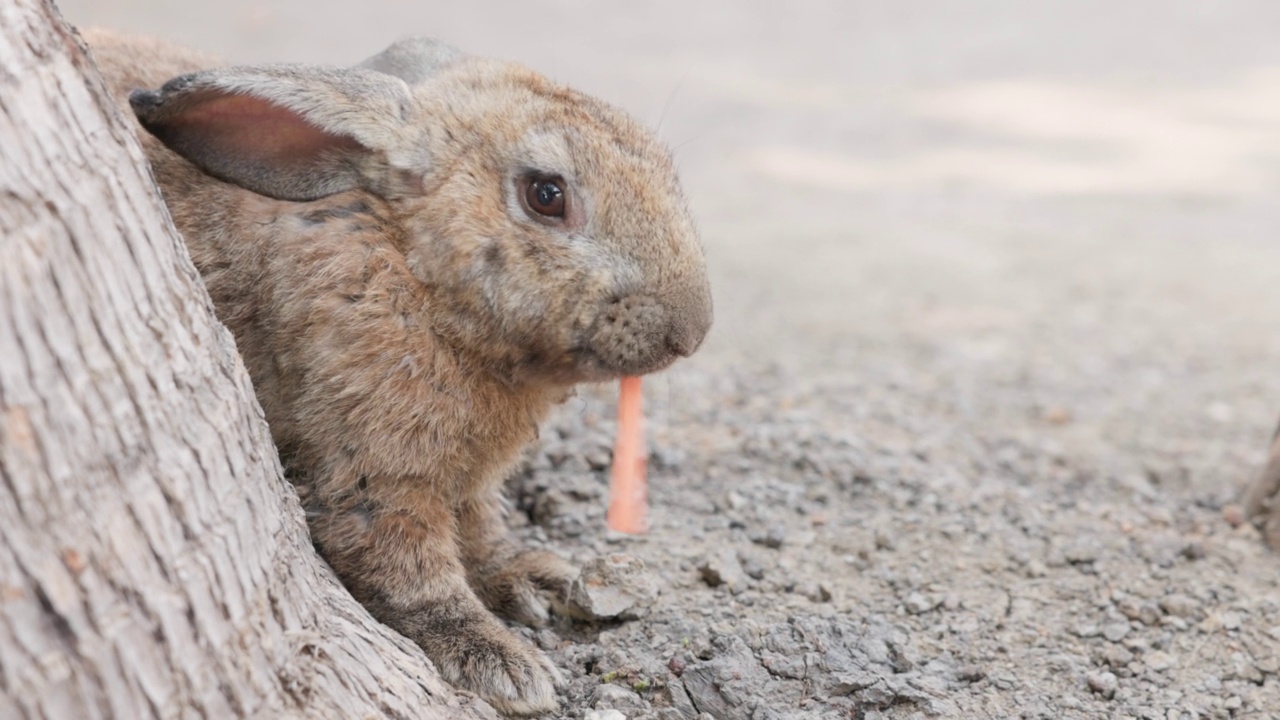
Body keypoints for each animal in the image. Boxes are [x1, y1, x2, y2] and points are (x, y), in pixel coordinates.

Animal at [85, 28, 716, 712]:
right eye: (546, 195)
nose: (692, 330)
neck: (415, 268)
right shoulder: (371, 474)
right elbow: (411, 571)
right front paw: (505, 666)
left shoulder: (468, 482)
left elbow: (481, 534)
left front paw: (534, 581)